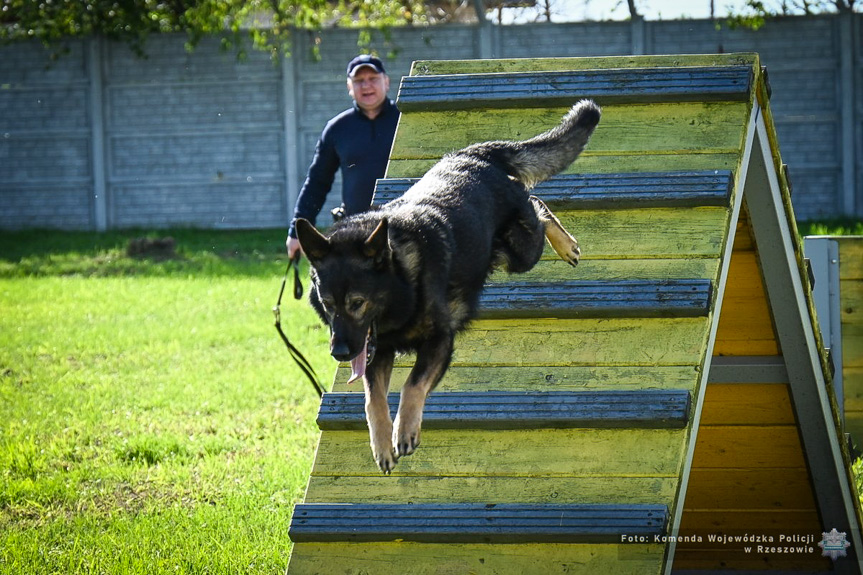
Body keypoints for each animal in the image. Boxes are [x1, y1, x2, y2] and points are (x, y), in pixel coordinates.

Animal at [296, 101, 600, 474]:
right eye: (327, 304)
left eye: (357, 302)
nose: (339, 353)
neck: (402, 283)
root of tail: (472, 154)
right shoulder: (377, 352)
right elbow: (373, 399)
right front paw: (382, 444)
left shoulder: (440, 340)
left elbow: (412, 384)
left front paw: (405, 430)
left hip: (521, 251)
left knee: (538, 205)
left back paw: (566, 244)